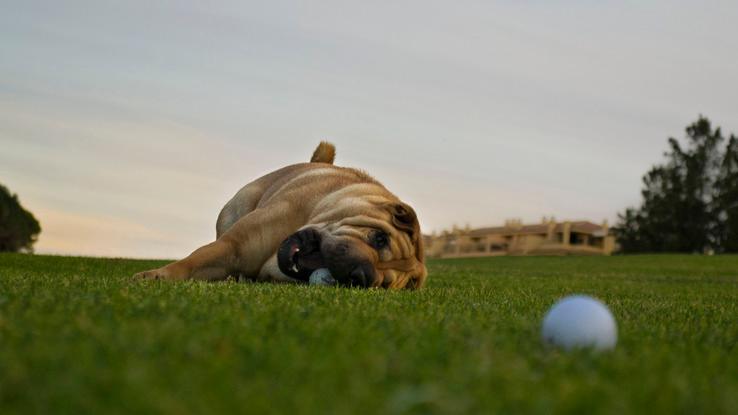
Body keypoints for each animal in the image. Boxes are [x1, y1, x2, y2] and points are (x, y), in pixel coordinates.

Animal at [134, 143, 426, 290]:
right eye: (379, 238)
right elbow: (195, 260)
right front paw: (154, 276)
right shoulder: (234, 246)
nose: (361, 276)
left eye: (381, 285)